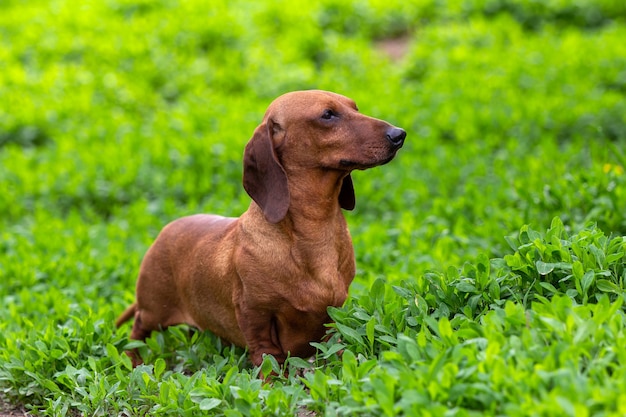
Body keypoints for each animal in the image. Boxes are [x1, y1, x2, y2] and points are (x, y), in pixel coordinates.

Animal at [116, 89, 404, 366]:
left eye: (355, 107)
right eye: (327, 115)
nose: (399, 135)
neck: (315, 230)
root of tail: (165, 231)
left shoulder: (333, 311)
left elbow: (333, 343)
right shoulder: (254, 313)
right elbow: (266, 353)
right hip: (155, 310)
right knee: (137, 329)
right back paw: (133, 360)